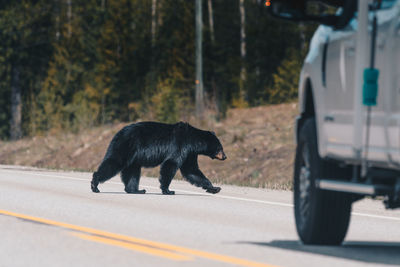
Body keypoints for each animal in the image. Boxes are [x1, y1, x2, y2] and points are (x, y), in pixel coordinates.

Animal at [92, 122, 227, 196]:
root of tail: (117, 133)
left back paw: (136, 190)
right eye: (220, 148)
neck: (193, 141)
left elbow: (192, 171)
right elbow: (170, 164)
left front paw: (215, 188)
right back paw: (95, 184)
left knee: (132, 172)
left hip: (134, 157)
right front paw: (168, 190)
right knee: (114, 162)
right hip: (125, 146)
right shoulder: (180, 146)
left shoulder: (190, 154)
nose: (225, 156)